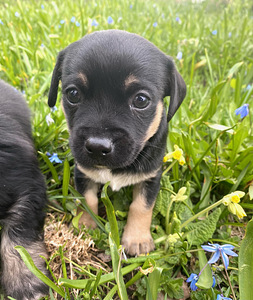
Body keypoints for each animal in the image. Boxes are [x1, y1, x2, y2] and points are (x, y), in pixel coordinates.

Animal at [48, 29, 186, 255]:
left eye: (141, 100)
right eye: (73, 94)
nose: (97, 146)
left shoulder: (151, 176)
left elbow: (141, 206)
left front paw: (137, 240)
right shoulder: (83, 171)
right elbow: (87, 199)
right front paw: (86, 225)